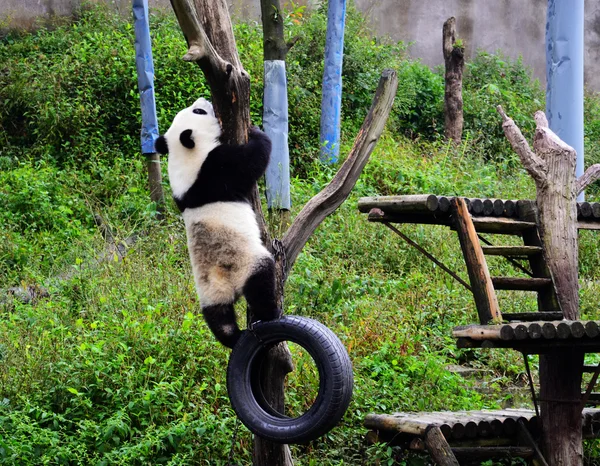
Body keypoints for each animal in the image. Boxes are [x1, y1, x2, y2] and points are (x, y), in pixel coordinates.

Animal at [158, 97, 282, 346]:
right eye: (199, 111)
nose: (203, 99)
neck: (183, 155)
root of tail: (230, 286)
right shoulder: (214, 168)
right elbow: (251, 162)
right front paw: (256, 131)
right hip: (248, 261)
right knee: (261, 282)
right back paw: (270, 314)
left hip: (208, 290)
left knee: (218, 317)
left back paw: (232, 337)